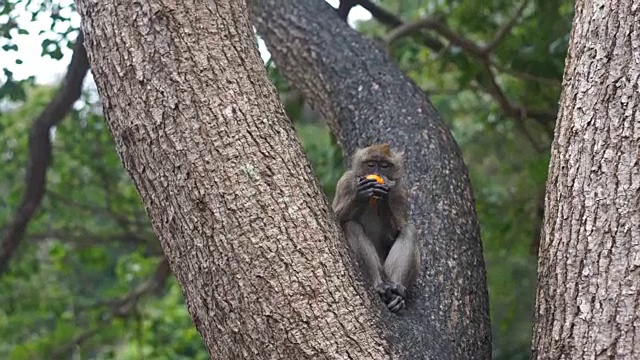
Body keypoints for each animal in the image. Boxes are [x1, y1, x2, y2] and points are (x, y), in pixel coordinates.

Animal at [330, 143, 420, 312]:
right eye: (371, 164)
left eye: (384, 165)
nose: (377, 173)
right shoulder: (345, 183)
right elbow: (335, 219)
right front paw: (361, 194)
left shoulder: (400, 191)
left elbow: (398, 230)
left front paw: (384, 195)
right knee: (351, 225)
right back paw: (378, 285)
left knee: (409, 230)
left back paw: (396, 291)